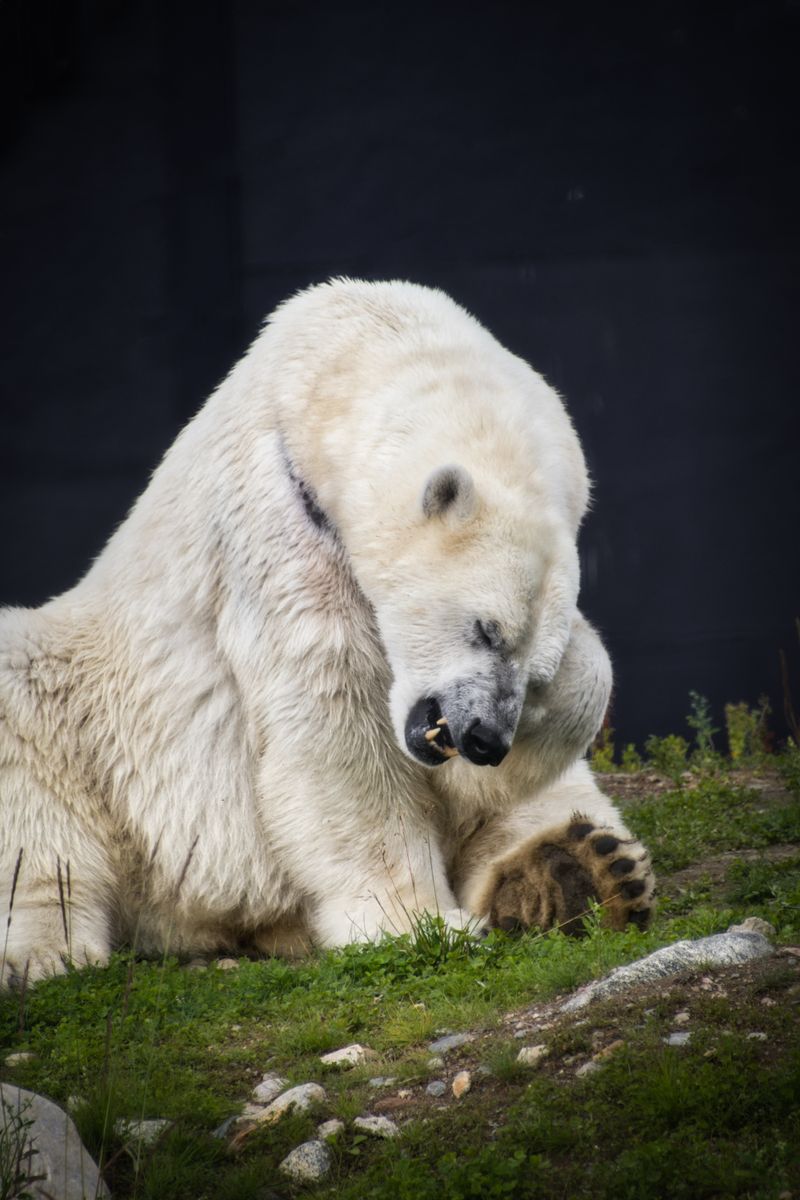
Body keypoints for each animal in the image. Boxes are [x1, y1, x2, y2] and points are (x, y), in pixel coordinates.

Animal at [0, 279, 654, 986]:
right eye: (485, 628)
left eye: (534, 672)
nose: (484, 738)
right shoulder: (282, 530)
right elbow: (336, 724)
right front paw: (414, 922)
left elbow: (571, 697)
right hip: (98, 720)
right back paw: (46, 950)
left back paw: (580, 873)